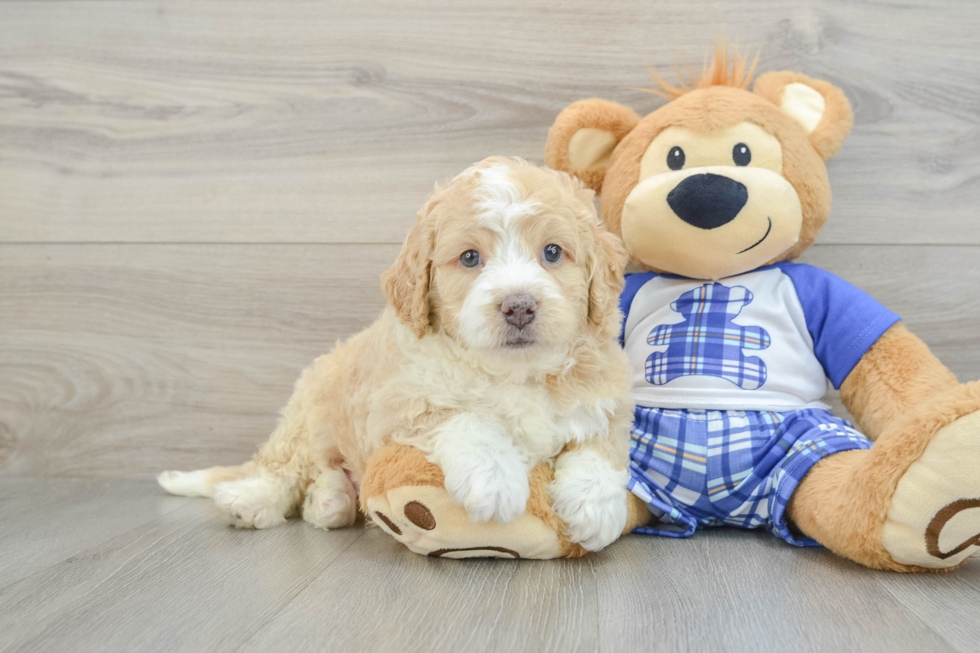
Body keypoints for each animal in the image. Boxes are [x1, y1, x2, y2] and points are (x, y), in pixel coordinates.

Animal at [159, 157, 636, 552]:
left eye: (553, 252)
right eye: (470, 258)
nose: (519, 305)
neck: (516, 371)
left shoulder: (606, 396)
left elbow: (601, 447)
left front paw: (595, 510)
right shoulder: (400, 401)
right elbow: (463, 417)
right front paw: (494, 479)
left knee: (325, 475)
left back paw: (329, 500)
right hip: (309, 411)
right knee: (286, 465)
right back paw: (253, 499)